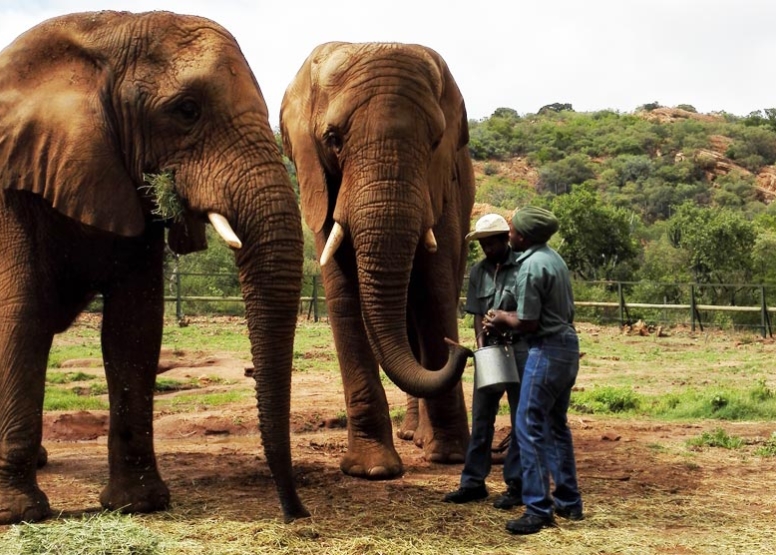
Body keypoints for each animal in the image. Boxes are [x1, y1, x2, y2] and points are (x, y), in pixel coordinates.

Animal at [0, 11, 310, 524]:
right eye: (186, 110)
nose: (297, 513)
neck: (100, 37)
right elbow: (20, 316)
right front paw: (18, 512)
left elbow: (135, 325)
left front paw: (140, 504)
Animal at [278, 42, 472, 478]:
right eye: (332, 139)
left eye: (435, 141)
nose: (462, 349)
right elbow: (344, 296)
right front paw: (372, 470)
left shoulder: (442, 189)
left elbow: (435, 293)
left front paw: (450, 457)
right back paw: (410, 436)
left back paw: (422, 440)